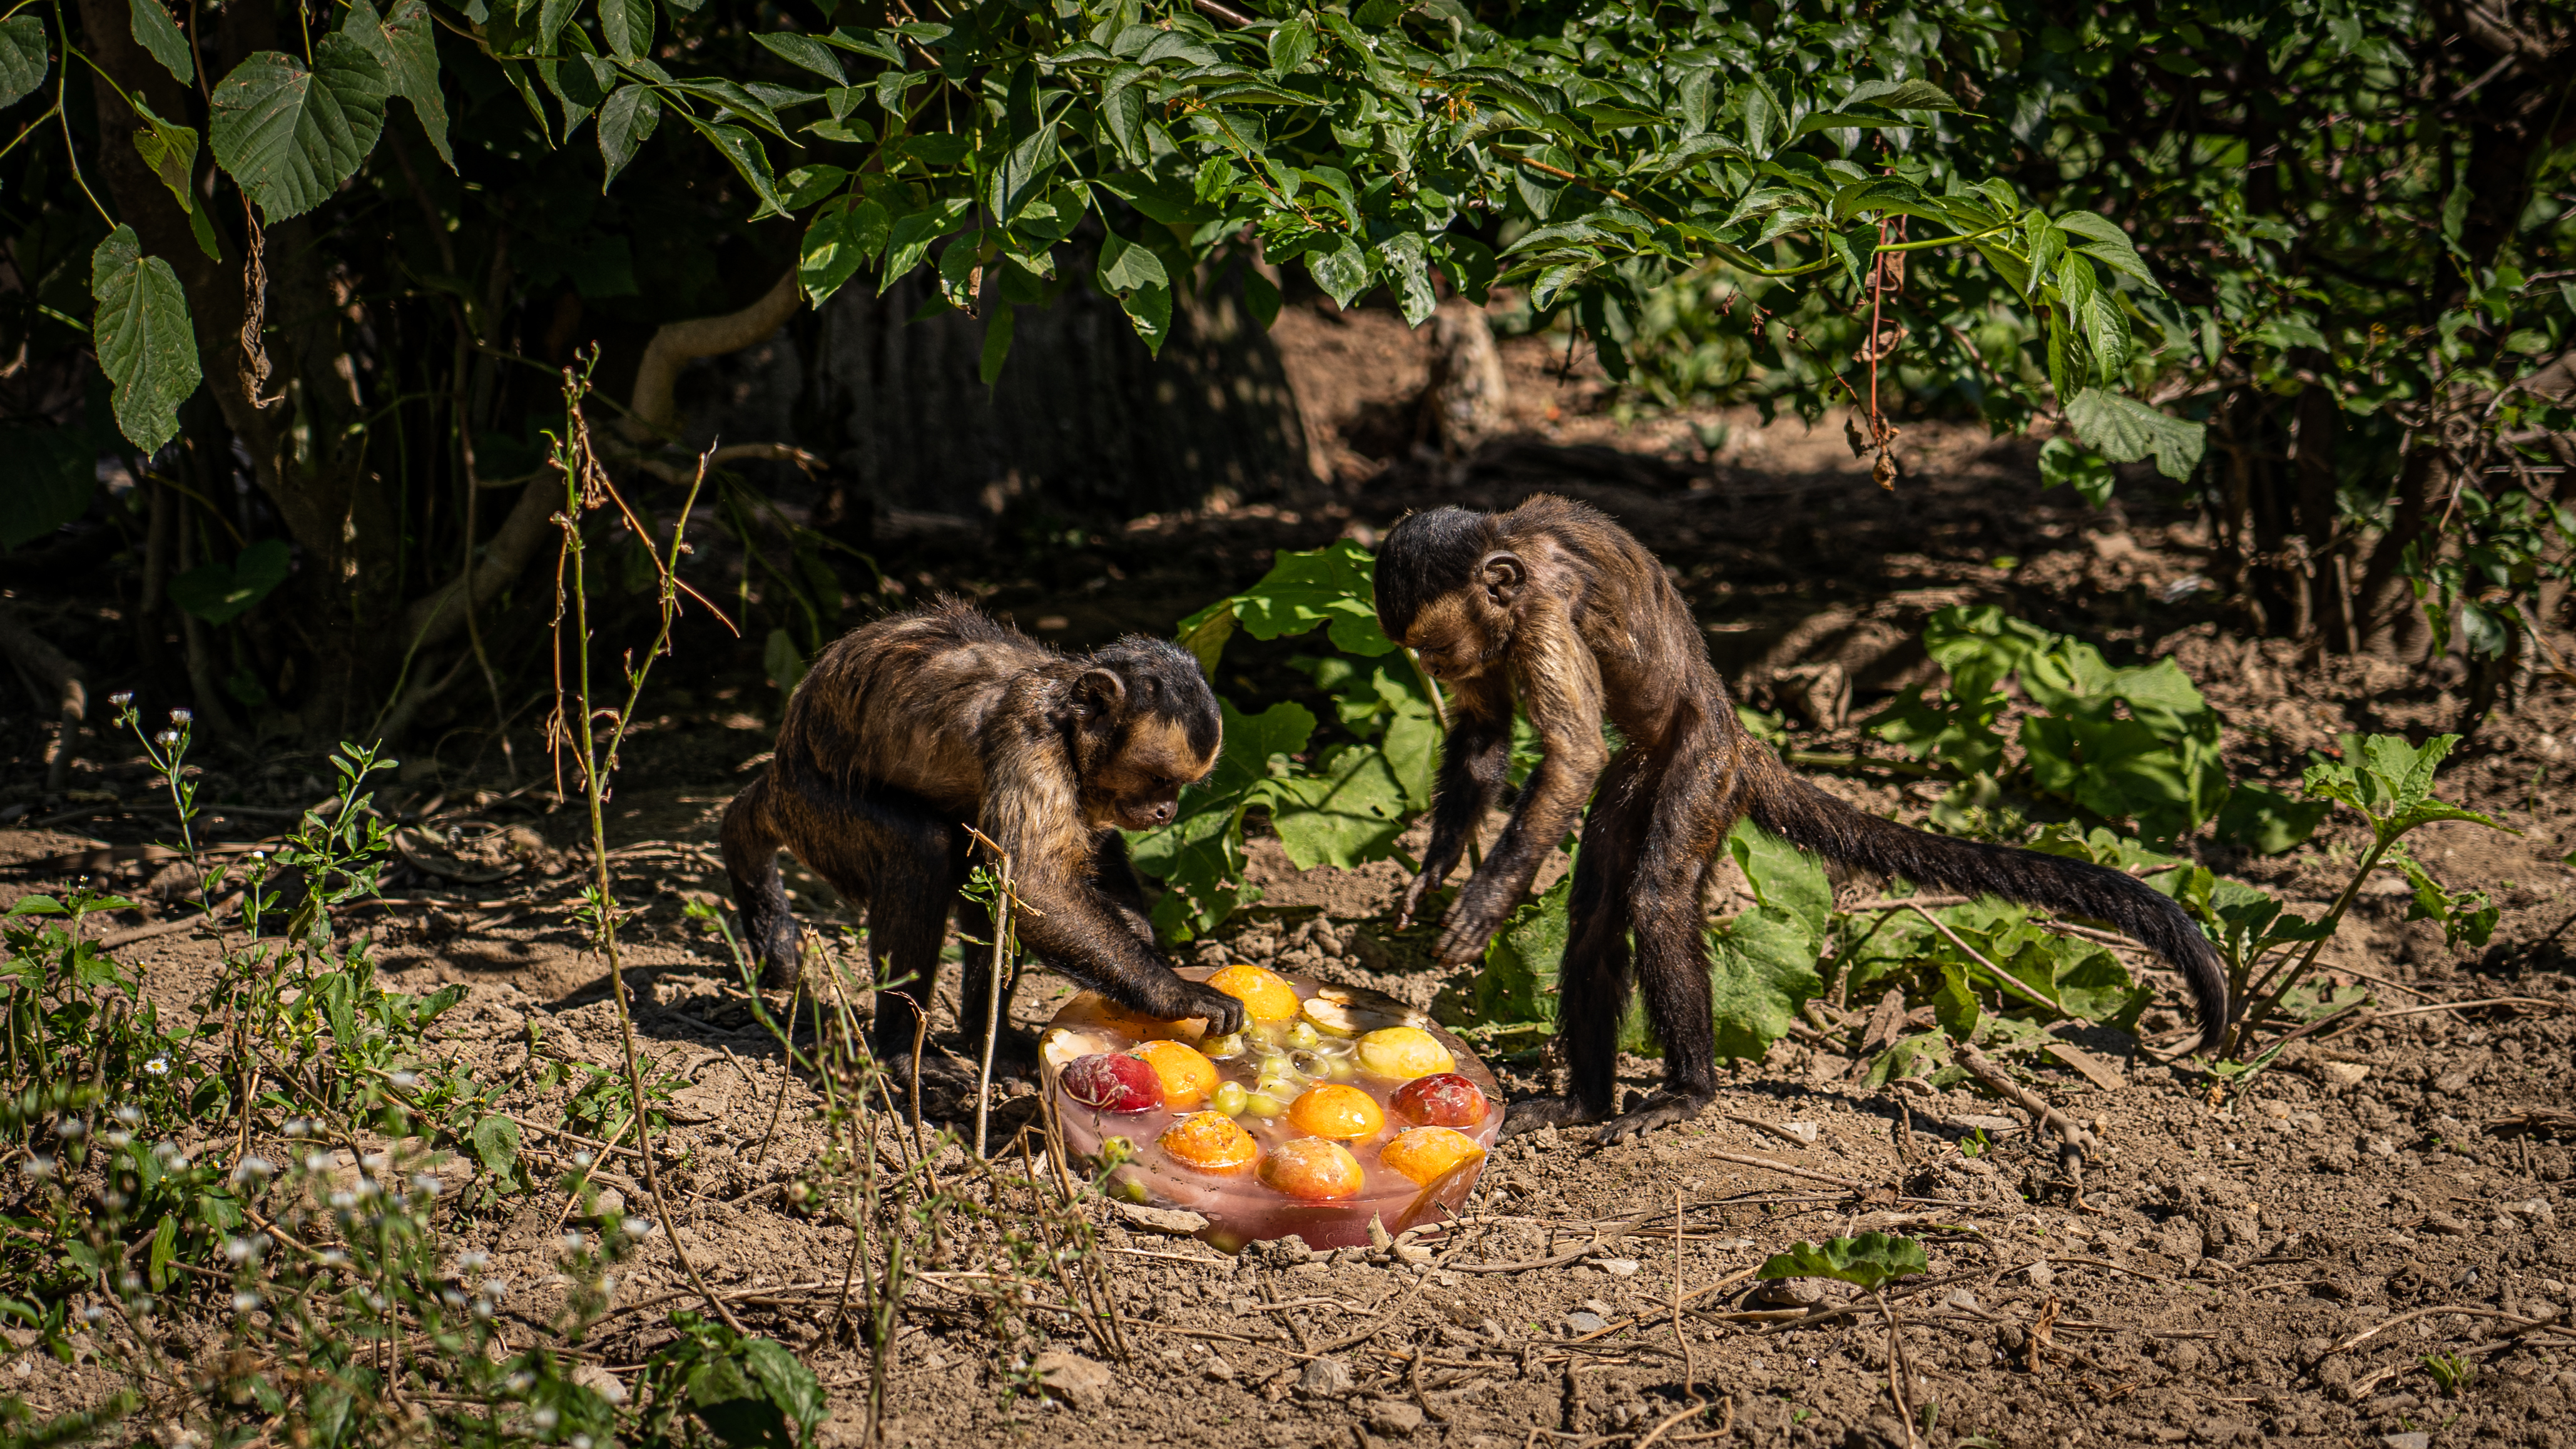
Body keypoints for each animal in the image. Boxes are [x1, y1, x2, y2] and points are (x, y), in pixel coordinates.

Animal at [726, 594, 1246, 1070]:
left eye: (1180, 786)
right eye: (1158, 778)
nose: (1166, 810)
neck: (1063, 707)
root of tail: (779, 768)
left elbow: (1080, 856)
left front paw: (1144, 949)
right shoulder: (1030, 739)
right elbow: (1035, 886)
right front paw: (1174, 991)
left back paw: (985, 1041)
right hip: (812, 808)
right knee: (923, 849)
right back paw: (903, 1050)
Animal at [1370, 499, 2236, 1147]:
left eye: (1433, 646)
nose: (1435, 669)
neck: (1512, 551)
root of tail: (1739, 732)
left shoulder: (1543, 611)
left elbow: (1575, 753)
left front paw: (1483, 903)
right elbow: (1485, 734)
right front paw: (1434, 871)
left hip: (1702, 771)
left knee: (1656, 896)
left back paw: (1688, 1092)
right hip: (1639, 779)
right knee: (1593, 915)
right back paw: (1583, 1103)